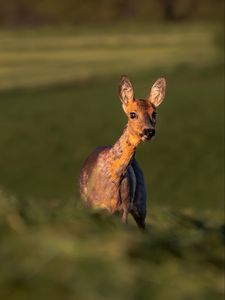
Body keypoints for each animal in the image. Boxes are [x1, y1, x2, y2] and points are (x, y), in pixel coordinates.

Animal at [78, 75, 165, 230]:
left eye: (154, 113)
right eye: (132, 114)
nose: (149, 131)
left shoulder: (123, 208)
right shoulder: (93, 207)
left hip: (140, 201)